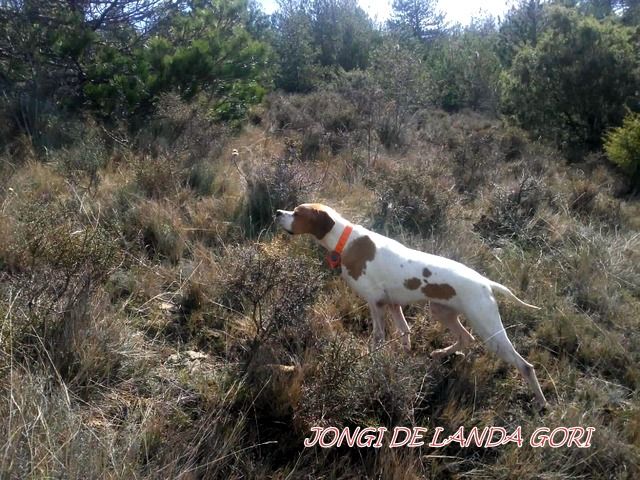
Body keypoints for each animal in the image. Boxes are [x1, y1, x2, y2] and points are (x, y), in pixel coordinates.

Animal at [272, 202, 548, 408]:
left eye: (297, 213)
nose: (277, 212)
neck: (346, 240)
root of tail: (486, 282)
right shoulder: (393, 304)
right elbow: (405, 332)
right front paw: (402, 358)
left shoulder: (376, 302)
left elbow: (378, 337)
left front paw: (370, 361)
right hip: (442, 312)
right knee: (466, 338)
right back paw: (441, 354)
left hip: (490, 330)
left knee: (525, 366)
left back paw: (541, 401)